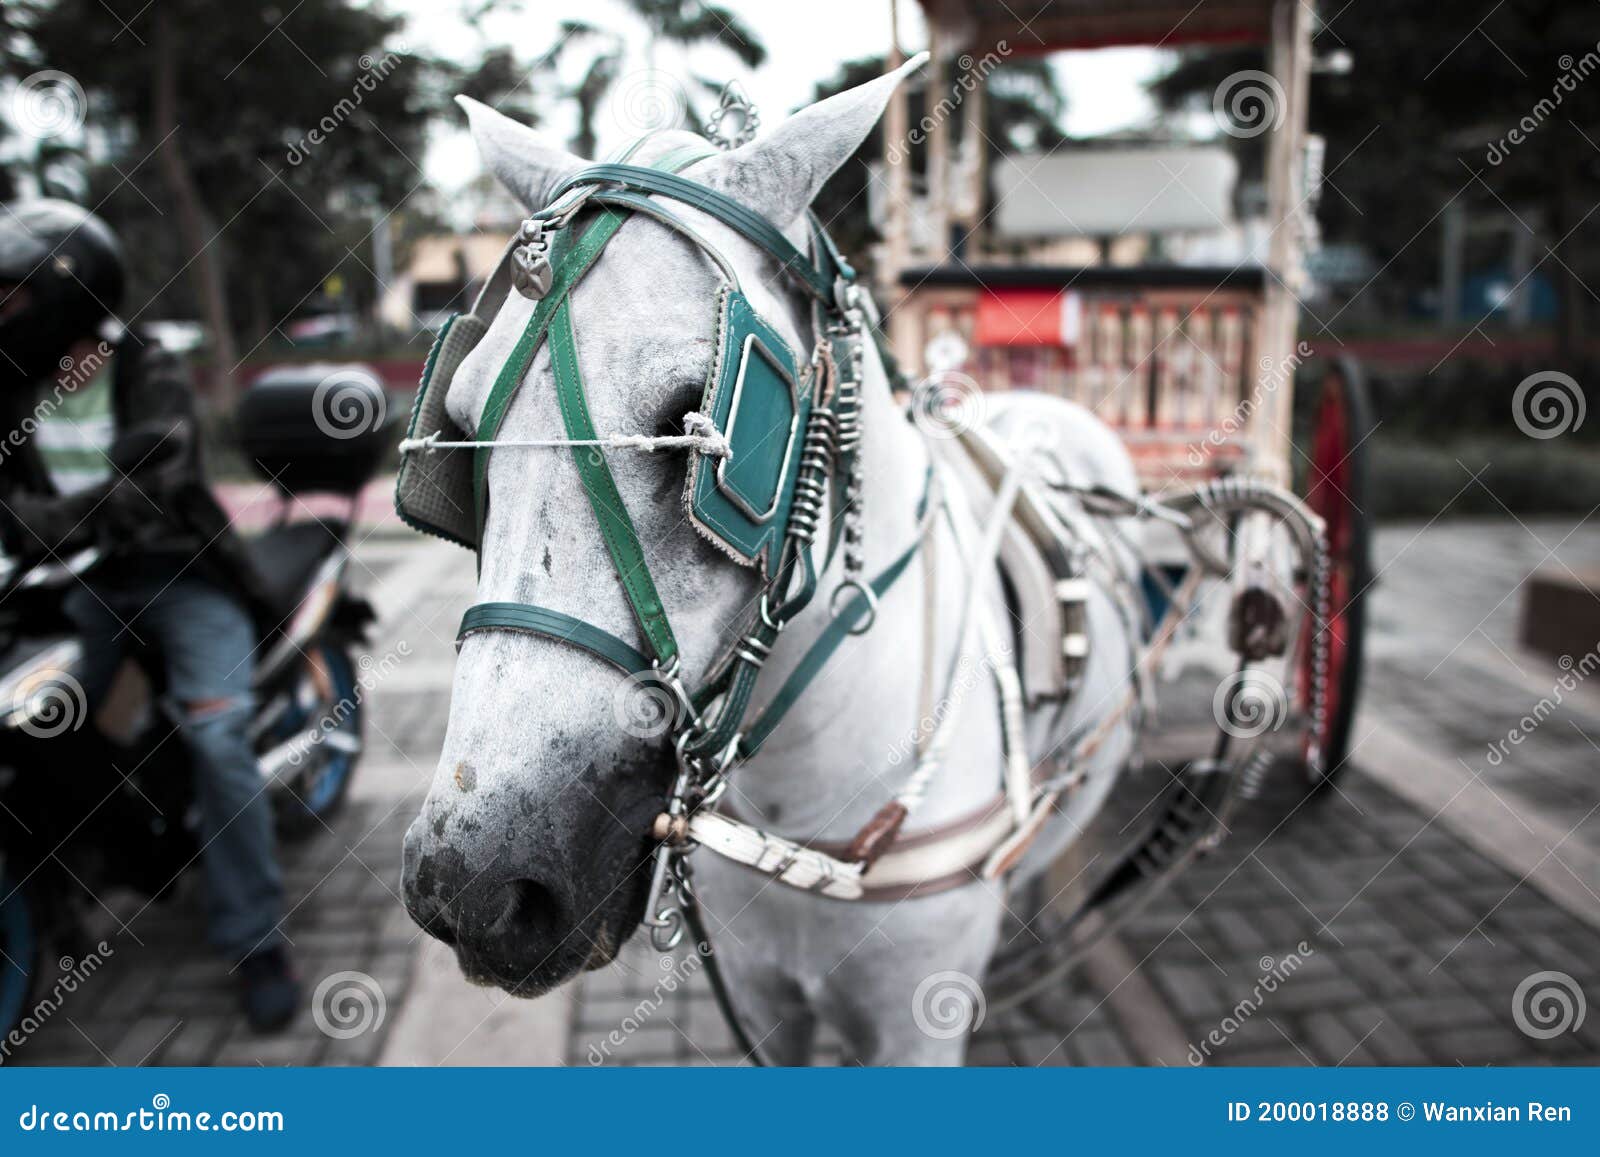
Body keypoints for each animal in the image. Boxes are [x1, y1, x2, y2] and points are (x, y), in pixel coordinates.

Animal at [403, 58, 1152, 1062]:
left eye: (698, 424)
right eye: (462, 422)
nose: (476, 886)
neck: (804, 814)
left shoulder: (917, 1027)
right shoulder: (764, 998)